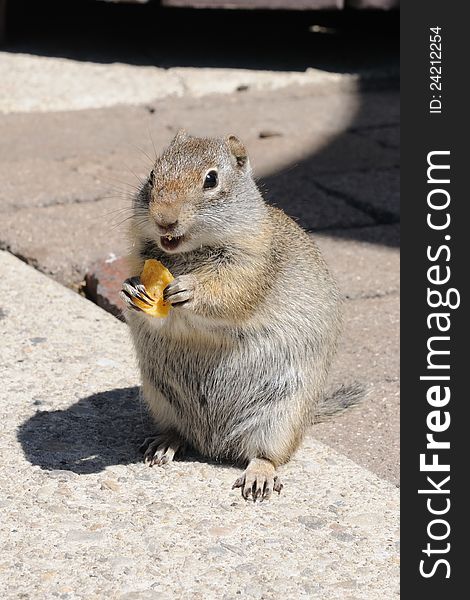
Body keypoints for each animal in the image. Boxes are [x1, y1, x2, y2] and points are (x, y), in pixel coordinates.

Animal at [121, 130, 352, 502]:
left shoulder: (252, 266)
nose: (164, 219)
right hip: (160, 400)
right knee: (180, 432)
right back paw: (164, 443)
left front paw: (190, 290)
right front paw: (130, 289)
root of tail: (213, 444)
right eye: (152, 176)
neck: (186, 255)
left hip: (281, 418)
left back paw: (259, 476)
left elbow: (228, 294)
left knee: (267, 455)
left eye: (211, 180)